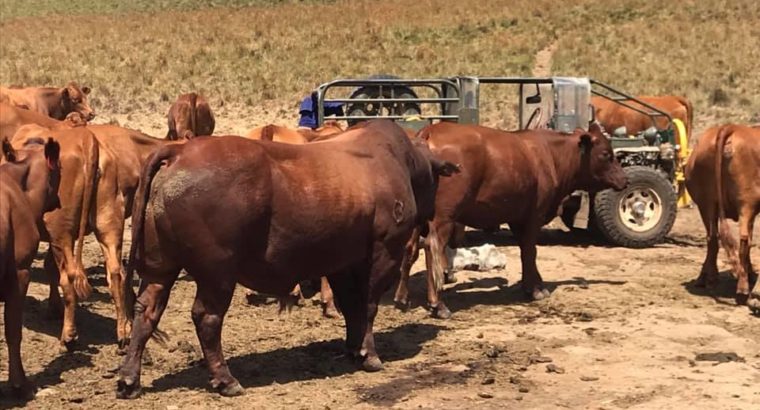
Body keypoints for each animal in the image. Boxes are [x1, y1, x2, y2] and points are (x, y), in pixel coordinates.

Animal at [116, 120, 459, 398]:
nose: (430, 216)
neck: (398, 161)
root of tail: (179, 152)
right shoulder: (384, 251)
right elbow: (368, 305)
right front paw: (369, 355)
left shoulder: (341, 262)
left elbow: (352, 307)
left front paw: (353, 348)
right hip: (218, 273)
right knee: (207, 319)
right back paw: (226, 380)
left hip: (160, 266)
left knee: (147, 312)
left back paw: (129, 380)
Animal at [394, 122, 627, 318]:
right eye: (606, 154)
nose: (623, 179)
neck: (551, 155)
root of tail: (430, 131)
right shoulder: (534, 215)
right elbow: (530, 251)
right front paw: (535, 290)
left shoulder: (517, 218)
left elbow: (526, 252)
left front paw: (534, 284)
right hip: (443, 217)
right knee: (432, 248)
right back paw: (438, 304)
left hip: (419, 219)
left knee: (410, 249)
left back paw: (402, 298)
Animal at [685, 124, 759, 312]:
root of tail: (730, 127)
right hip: (747, 203)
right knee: (744, 240)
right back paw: (742, 289)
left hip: (706, 203)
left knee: (712, 238)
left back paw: (707, 279)